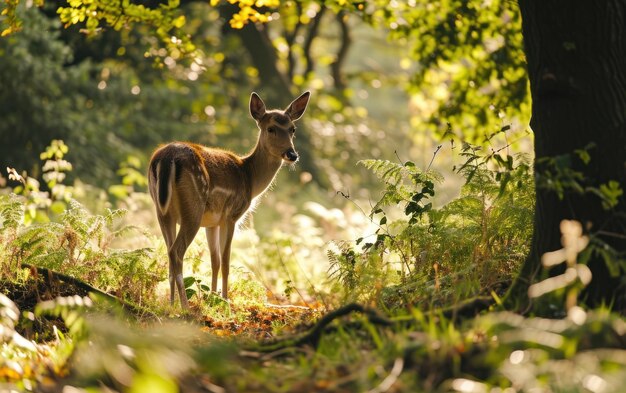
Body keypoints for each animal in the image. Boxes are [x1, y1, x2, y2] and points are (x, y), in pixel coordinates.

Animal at [147, 92, 312, 310]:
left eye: (292, 129)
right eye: (271, 128)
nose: (292, 154)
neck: (250, 177)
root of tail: (166, 158)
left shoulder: (212, 223)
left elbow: (214, 261)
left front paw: (212, 299)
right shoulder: (231, 215)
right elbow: (226, 260)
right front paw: (225, 301)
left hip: (162, 210)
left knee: (168, 251)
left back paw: (171, 304)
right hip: (193, 208)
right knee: (176, 251)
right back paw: (185, 307)